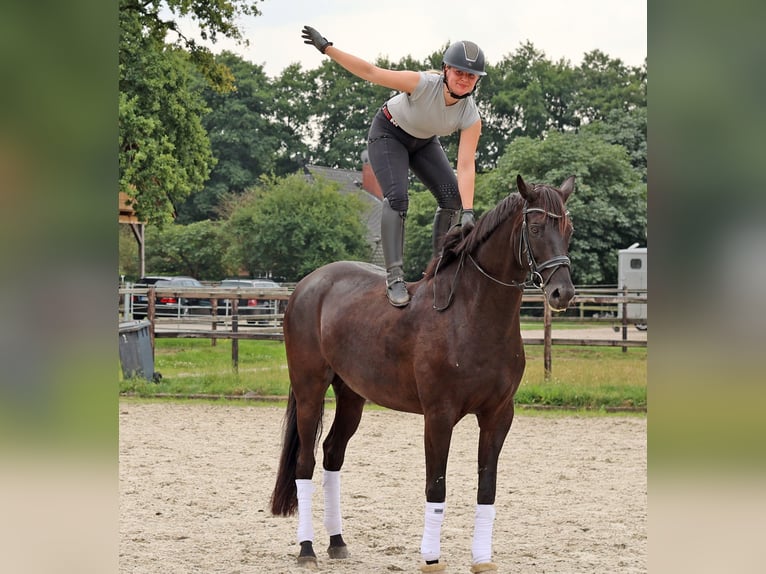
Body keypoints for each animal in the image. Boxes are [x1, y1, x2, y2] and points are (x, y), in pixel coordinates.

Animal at [270, 173, 576, 572]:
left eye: (568, 229)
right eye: (536, 228)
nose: (562, 293)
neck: (471, 315)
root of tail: (307, 286)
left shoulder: (498, 415)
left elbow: (487, 487)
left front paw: (482, 558)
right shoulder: (439, 416)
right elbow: (437, 485)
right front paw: (431, 558)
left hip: (352, 395)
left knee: (333, 454)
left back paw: (337, 542)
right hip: (310, 391)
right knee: (305, 463)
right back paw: (306, 548)